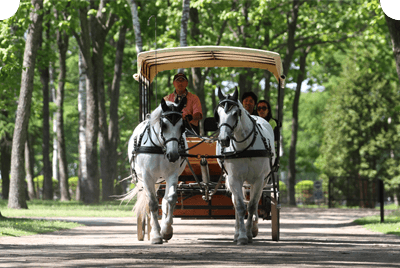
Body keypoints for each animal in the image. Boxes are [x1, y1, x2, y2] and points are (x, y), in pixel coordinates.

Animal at [120, 97, 188, 244]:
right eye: (164, 125)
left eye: (182, 126)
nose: (173, 155)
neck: (160, 148)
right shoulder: (147, 177)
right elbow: (152, 203)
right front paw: (156, 235)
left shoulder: (172, 175)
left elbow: (170, 200)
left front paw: (166, 231)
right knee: (149, 203)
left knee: (165, 200)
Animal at [216, 88, 276, 245]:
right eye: (218, 114)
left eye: (235, 113)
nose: (223, 139)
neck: (246, 147)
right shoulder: (234, 179)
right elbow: (240, 206)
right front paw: (241, 236)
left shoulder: (259, 180)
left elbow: (252, 205)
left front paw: (249, 233)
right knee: (237, 204)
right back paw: (237, 233)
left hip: (263, 181)